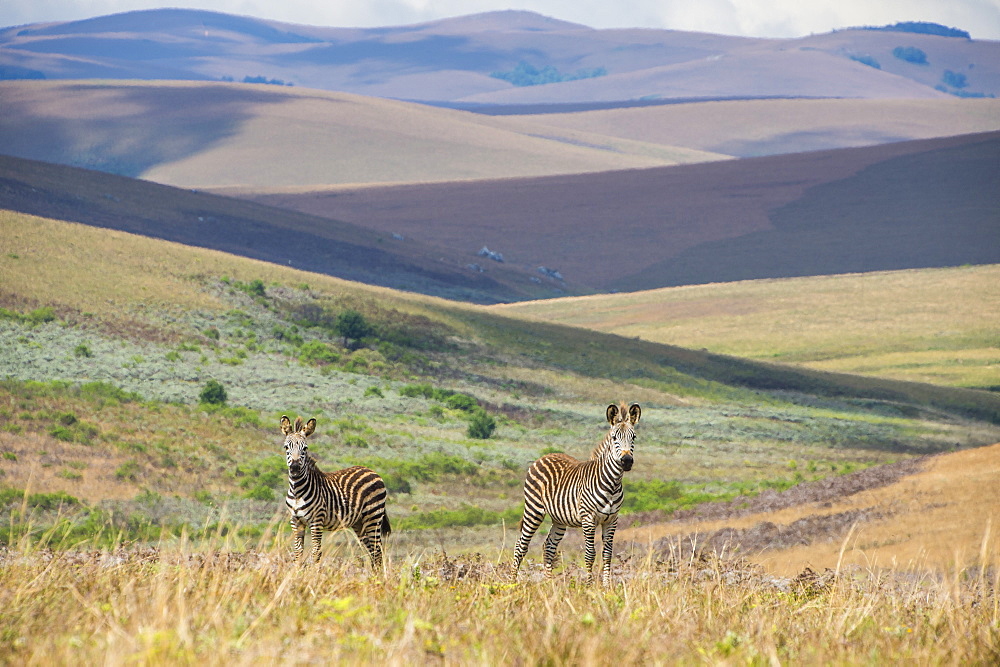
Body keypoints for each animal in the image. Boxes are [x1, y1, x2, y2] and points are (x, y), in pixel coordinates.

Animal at [284, 418, 392, 568]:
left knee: (377, 551)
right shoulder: (295, 521)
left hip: (373, 516)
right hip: (359, 522)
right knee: (372, 551)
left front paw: (313, 572)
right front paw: (296, 572)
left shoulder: (317, 520)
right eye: (286, 447)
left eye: (305, 448)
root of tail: (371, 470)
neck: (297, 492)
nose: (294, 469)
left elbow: (316, 552)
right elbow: (298, 553)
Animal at [512, 402, 644, 584]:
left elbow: (607, 554)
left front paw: (606, 586)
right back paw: (511, 582)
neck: (612, 484)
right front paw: (589, 585)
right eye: (614, 438)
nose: (627, 461)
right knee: (521, 546)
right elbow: (590, 554)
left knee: (549, 546)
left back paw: (549, 584)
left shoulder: (612, 520)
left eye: (634, 437)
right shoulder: (588, 519)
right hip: (534, 510)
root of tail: (544, 456)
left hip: (559, 519)